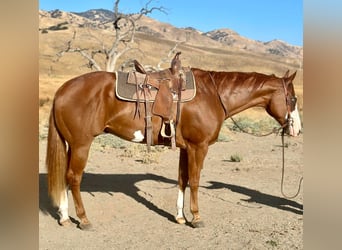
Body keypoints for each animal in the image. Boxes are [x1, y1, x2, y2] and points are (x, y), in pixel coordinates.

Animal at [44, 68, 300, 229]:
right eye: (293, 99)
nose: (297, 129)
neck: (212, 95)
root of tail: (62, 90)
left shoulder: (186, 149)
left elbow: (182, 180)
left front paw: (180, 217)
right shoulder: (199, 147)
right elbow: (194, 181)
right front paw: (196, 217)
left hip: (71, 145)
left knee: (64, 177)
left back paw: (65, 217)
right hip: (81, 145)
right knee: (74, 178)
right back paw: (84, 220)